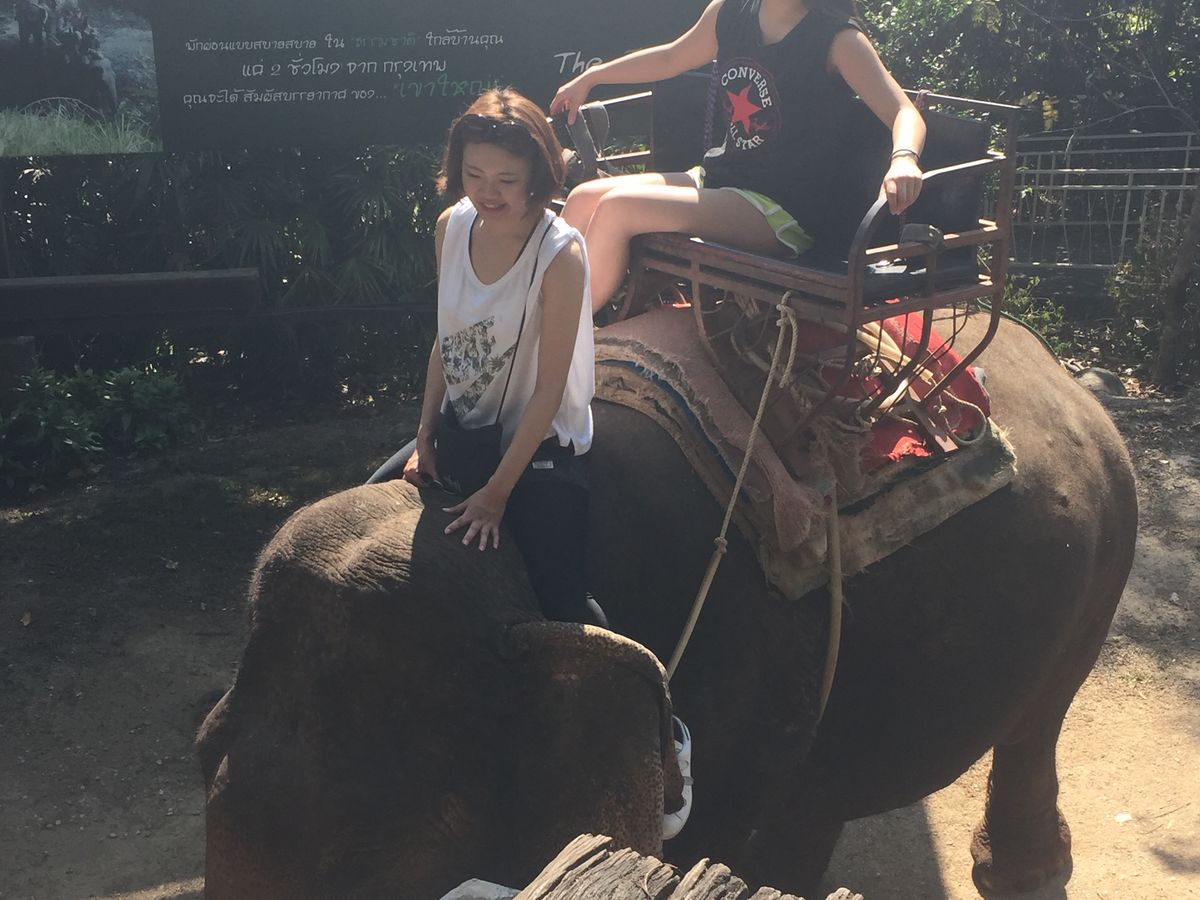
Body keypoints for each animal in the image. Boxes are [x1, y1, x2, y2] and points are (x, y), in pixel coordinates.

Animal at [199, 313, 1137, 899]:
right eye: (207, 749)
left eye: (375, 875)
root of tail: (1064, 370)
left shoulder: (741, 691)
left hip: (1105, 567)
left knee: (1038, 718)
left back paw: (1020, 874)